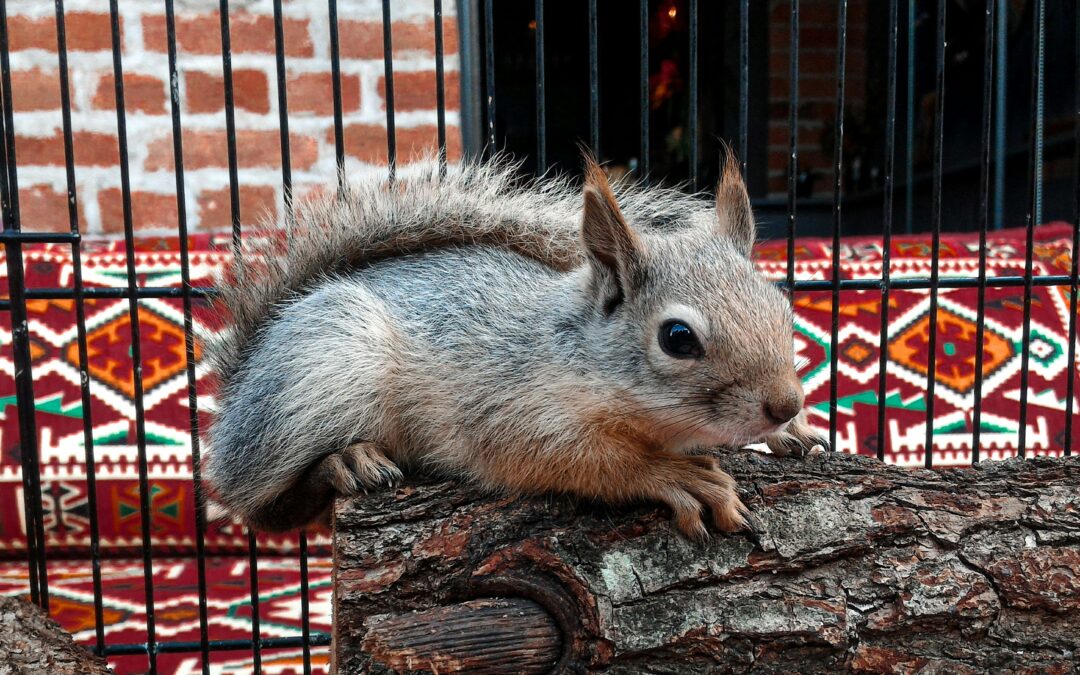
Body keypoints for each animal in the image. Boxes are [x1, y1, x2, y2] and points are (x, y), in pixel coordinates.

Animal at [203, 153, 827, 541]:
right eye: (678, 338)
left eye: (782, 307)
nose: (786, 403)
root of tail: (241, 387)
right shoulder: (508, 401)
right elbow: (570, 458)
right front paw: (672, 474)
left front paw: (794, 433)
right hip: (319, 373)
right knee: (260, 504)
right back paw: (343, 461)